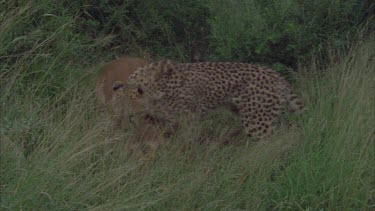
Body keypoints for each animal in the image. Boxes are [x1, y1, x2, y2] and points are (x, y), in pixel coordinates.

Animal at [127, 59, 306, 139]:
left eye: (138, 84)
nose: (123, 86)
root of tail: (277, 75)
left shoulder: (189, 119)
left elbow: (187, 139)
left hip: (257, 122)